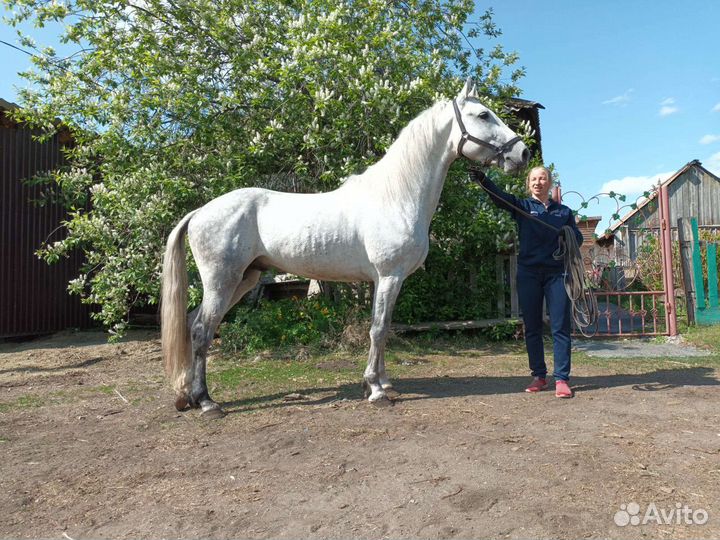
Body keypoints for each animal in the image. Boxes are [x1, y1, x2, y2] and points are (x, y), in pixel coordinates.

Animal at [161, 78, 530, 417]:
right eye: (483, 115)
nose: (522, 153)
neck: (396, 196)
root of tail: (200, 212)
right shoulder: (389, 276)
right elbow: (378, 329)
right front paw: (376, 390)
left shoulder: (387, 281)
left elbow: (383, 328)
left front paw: (382, 383)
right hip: (222, 280)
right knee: (201, 330)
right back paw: (207, 402)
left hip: (244, 279)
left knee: (194, 324)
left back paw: (187, 396)